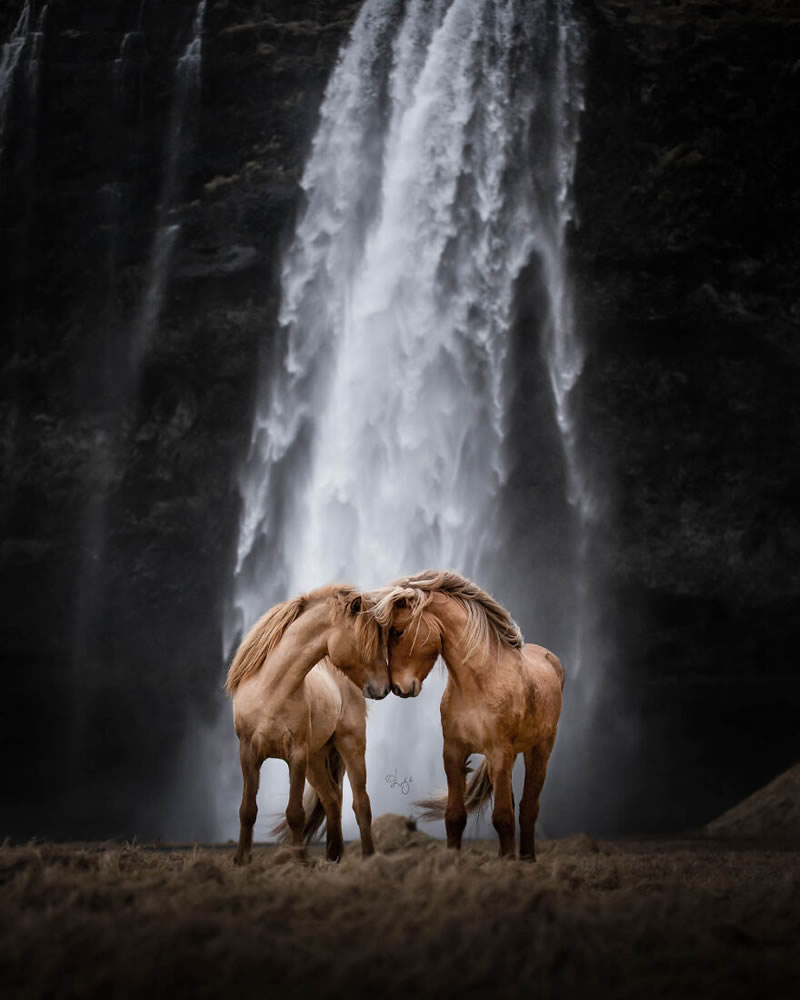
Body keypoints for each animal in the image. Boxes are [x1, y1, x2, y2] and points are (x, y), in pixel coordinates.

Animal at [225, 584, 390, 864]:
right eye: (365, 640)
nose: (384, 688)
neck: (271, 691)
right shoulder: (248, 753)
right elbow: (247, 809)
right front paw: (241, 859)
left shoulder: (297, 755)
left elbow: (295, 813)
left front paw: (299, 860)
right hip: (316, 759)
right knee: (332, 799)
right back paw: (334, 856)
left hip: (350, 746)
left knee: (361, 804)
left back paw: (367, 857)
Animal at [374, 572, 564, 860]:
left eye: (398, 631)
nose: (397, 688)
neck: (479, 683)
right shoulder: (454, 752)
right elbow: (455, 816)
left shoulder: (498, 753)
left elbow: (503, 817)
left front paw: (507, 862)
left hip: (539, 750)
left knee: (528, 807)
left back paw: (527, 859)